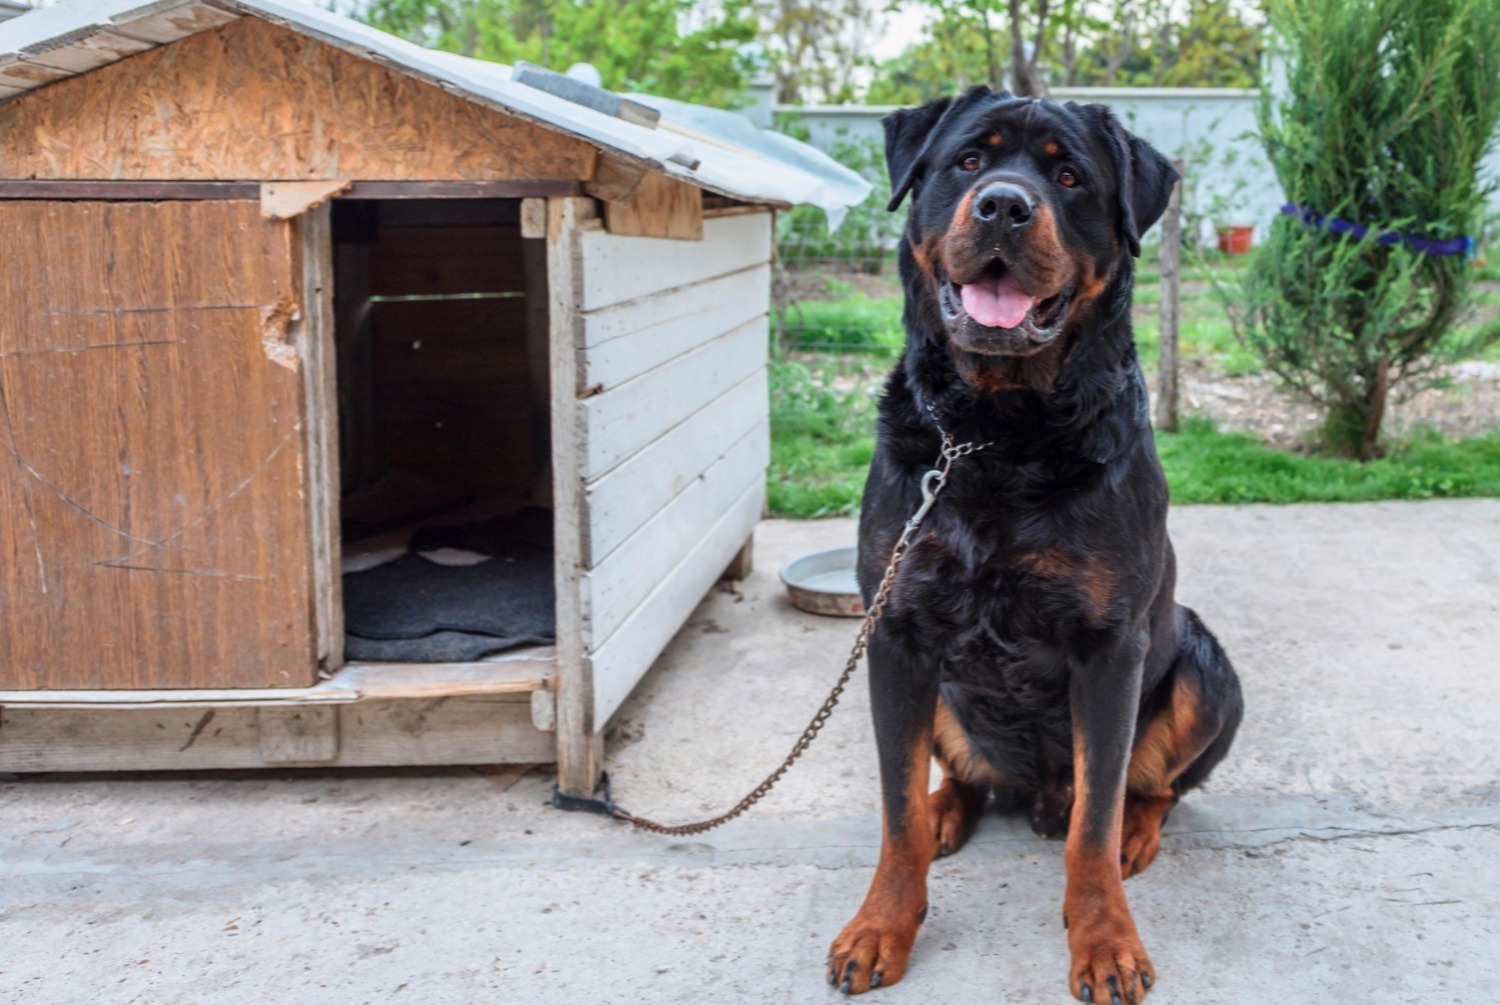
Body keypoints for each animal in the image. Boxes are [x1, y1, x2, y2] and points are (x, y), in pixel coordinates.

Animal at [834, 90, 1242, 1002]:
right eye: (968, 162)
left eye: (1070, 177)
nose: (1003, 207)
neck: (996, 433)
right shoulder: (896, 632)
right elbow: (894, 806)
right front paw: (882, 922)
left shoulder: (1110, 645)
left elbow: (1094, 820)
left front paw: (1105, 938)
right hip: (941, 692)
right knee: (958, 776)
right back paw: (951, 808)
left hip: (1207, 667)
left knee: (1143, 784)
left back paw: (1134, 828)